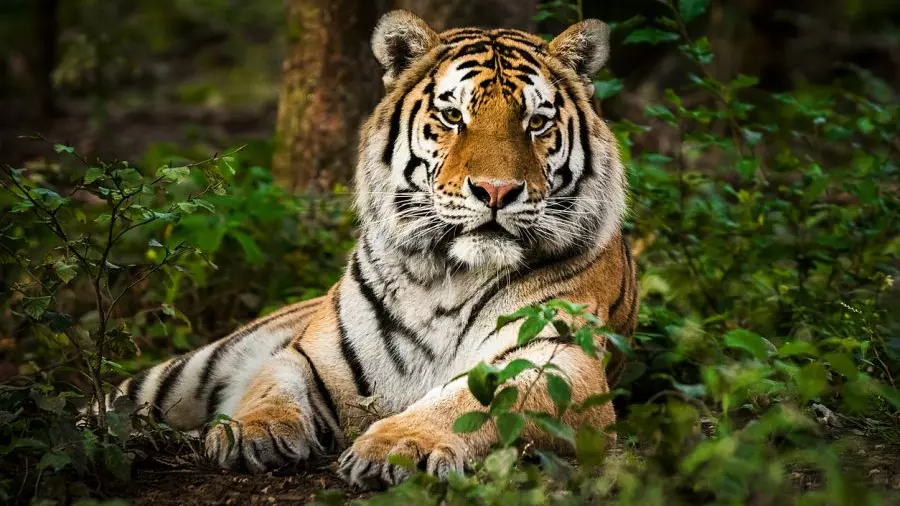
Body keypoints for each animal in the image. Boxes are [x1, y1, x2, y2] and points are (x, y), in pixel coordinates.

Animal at [107, 10, 638, 489]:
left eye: (537, 122)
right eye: (453, 116)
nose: (496, 190)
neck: (447, 276)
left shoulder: (558, 360)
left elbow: (470, 402)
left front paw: (400, 447)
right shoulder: (310, 355)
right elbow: (270, 386)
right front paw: (249, 431)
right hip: (185, 374)